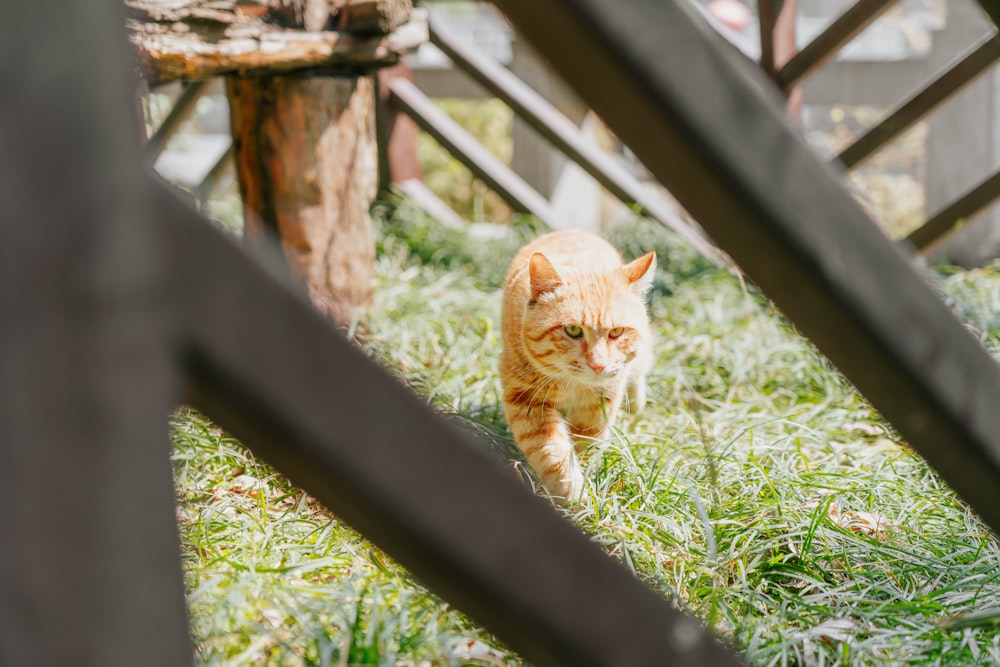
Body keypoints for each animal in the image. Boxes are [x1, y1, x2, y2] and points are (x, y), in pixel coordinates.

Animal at [500, 230, 656, 500]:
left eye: (616, 332)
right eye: (573, 330)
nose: (598, 365)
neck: (574, 385)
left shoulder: (598, 407)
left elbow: (586, 445)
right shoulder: (527, 402)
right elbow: (553, 455)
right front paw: (574, 495)